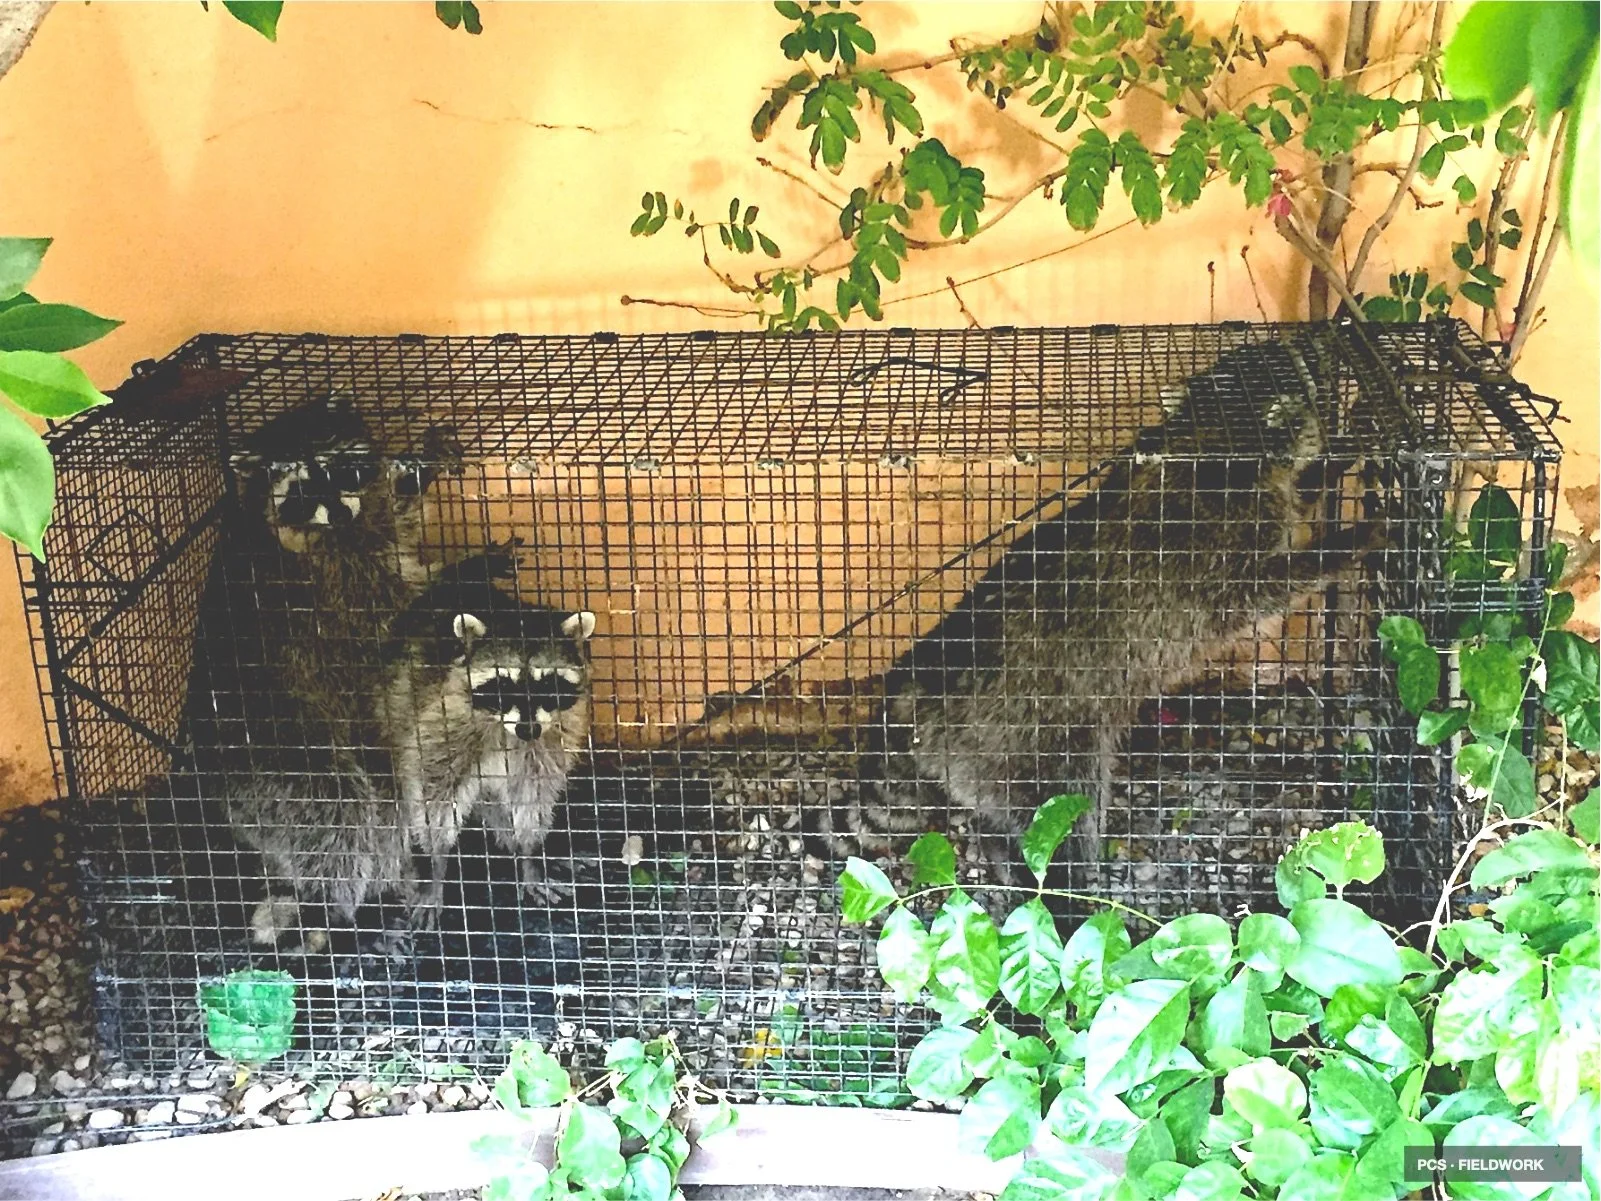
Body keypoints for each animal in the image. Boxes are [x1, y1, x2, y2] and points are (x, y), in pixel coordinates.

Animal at [184, 395, 461, 945]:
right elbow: (391, 616)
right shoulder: (328, 585)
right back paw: (343, 905)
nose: (333, 509)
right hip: (275, 760)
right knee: (341, 816)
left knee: (389, 799)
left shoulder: (366, 530)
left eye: (344, 472)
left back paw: (395, 876)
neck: (335, 531)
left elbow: (397, 521)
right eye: (302, 489)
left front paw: (420, 472)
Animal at [377, 554, 595, 912]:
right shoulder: (441, 724)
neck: (506, 730)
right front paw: (437, 862)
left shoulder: (549, 740)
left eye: (547, 683)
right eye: (503, 684)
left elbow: (533, 796)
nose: (528, 728)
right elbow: (435, 797)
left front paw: (530, 852)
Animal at [837, 333, 1370, 883]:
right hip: (1033, 743)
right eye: (1308, 366)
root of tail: (911, 700)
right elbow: (1259, 592)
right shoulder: (1212, 542)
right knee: (1066, 815)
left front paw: (1333, 465)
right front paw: (1340, 545)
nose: (1319, 339)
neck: (1207, 434)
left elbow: (1299, 499)